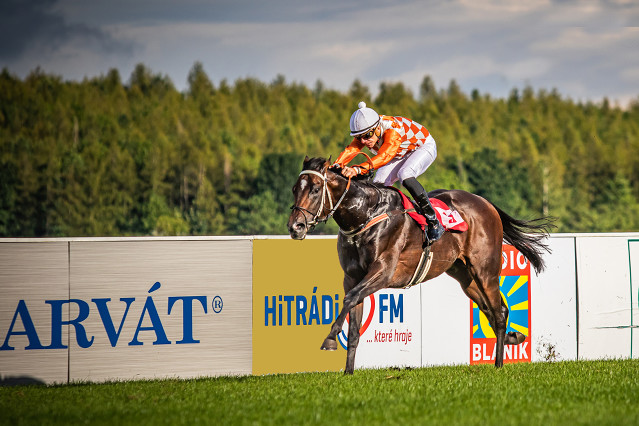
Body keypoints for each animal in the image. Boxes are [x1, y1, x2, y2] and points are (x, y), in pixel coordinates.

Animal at [288, 156, 552, 372]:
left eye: (315, 189)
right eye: (294, 189)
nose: (295, 227)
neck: (366, 215)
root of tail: (485, 203)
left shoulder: (384, 271)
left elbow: (350, 299)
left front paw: (330, 339)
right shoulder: (352, 277)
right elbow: (353, 323)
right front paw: (348, 372)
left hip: (485, 270)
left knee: (499, 311)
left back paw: (498, 364)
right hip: (464, 275)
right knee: (488, 308)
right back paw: (512, 337)